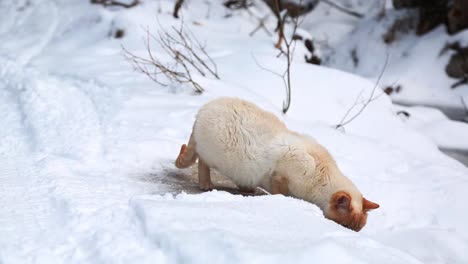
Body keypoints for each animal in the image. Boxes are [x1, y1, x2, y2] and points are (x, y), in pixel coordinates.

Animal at [174, 97, 378, 231]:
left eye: (358, 230)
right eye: (344, 226)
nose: (352, 234)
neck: (321, 174)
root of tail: (205, 107)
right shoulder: (279, 177)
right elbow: (281, 194)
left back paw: (246, 187)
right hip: (213, 154)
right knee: (202, 161)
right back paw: (206, 183)